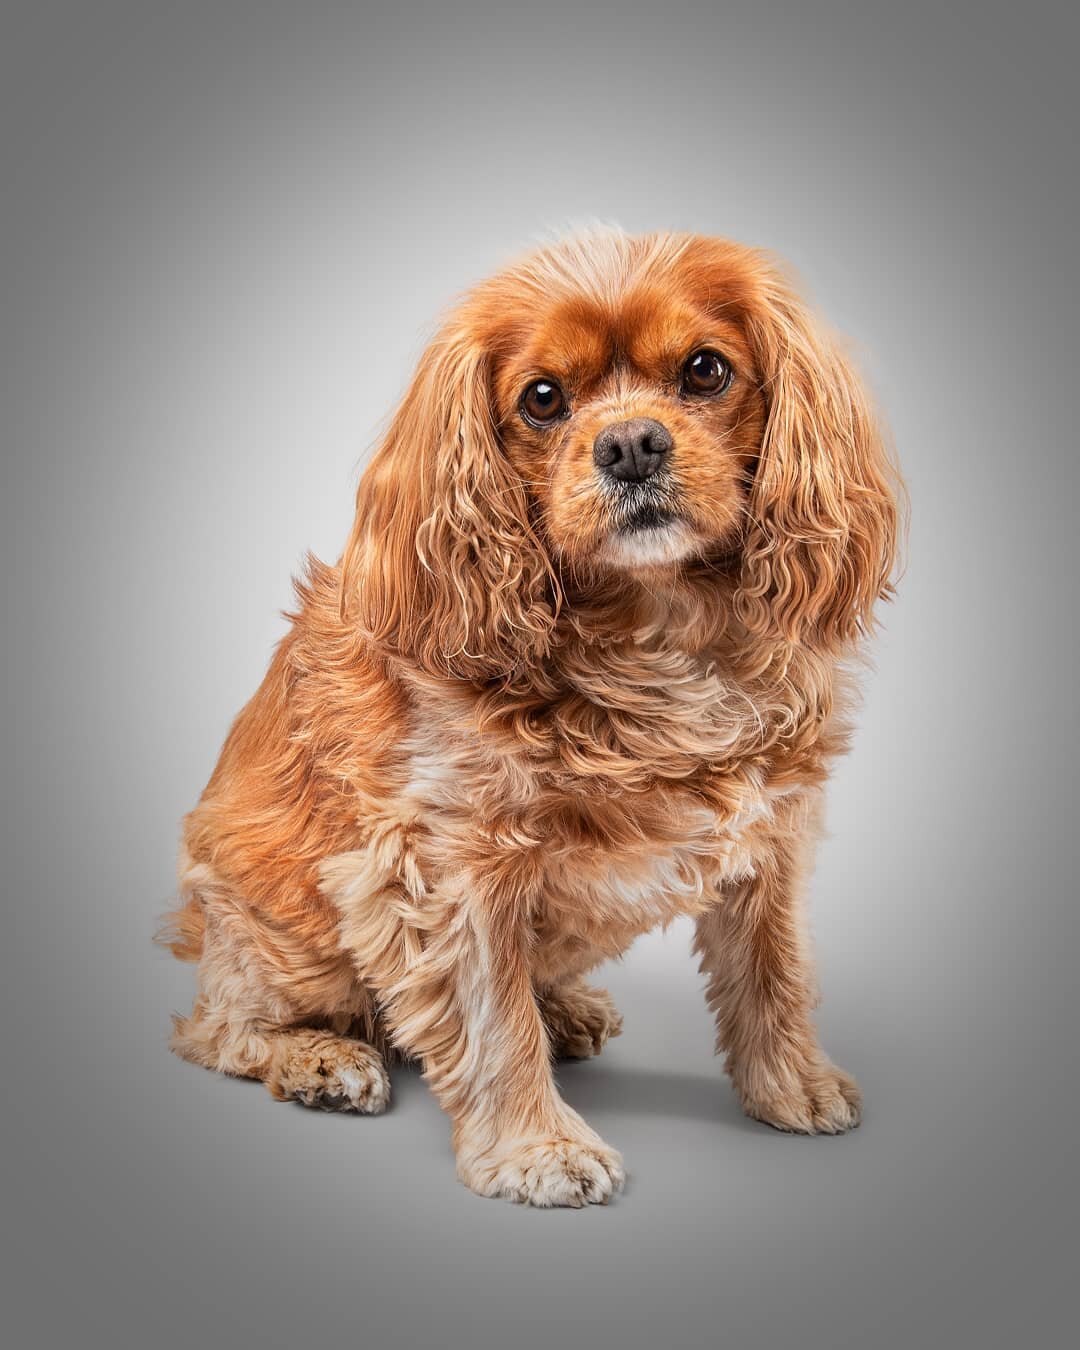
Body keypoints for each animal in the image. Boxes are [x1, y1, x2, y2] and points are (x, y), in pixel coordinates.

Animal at [160, 226, 901, 1209]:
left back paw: (568, 1008)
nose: (630, 443)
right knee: (215, 1029)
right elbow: (492, 1020)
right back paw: (321, 1060)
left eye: (706, 370)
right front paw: (538, 1148)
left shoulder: (770, 828)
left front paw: (793, 1085)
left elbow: (773, 970)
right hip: (278, 941)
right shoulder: (447, 869)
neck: (653, 636)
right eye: (542, 398)